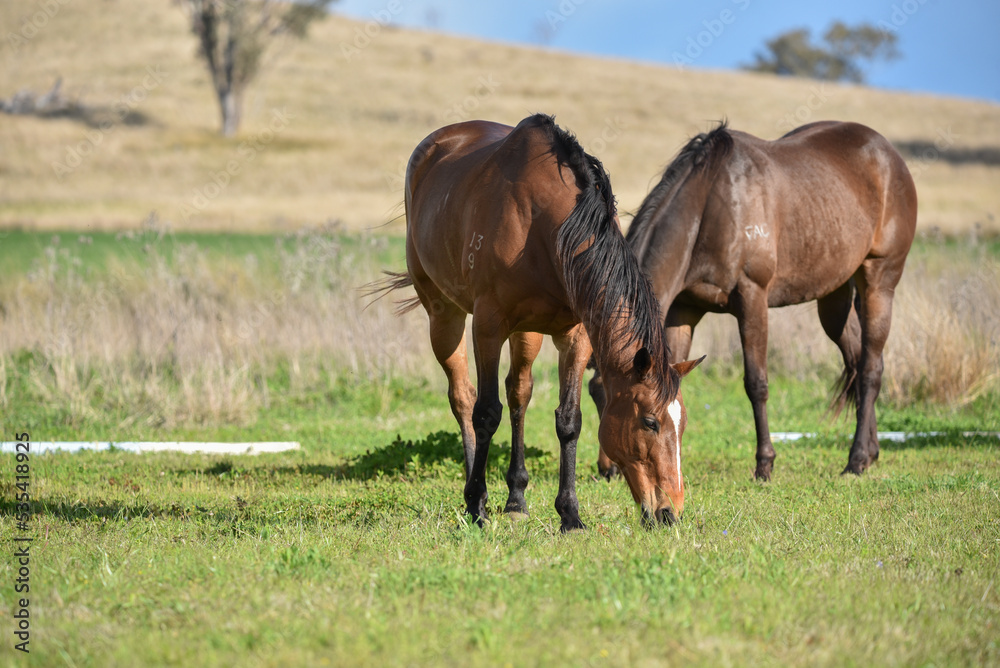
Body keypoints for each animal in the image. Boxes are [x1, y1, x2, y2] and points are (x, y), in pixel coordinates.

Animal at [376, 115, 704, 532]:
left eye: (683, 424)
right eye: (650, 422)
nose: (670, 513)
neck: (545, 224)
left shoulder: (576, 336)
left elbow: (569, 419)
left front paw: (571, 515)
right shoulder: (488, 326)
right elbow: (486, 412)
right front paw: (477, 506)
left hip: (527, 332)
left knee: (519, 394)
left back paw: (516, 499)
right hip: (443, 314)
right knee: (463, 398)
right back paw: (473, 492)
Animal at [588, 121, 916, 480]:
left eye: (637, 411)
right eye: (595, 396)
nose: (609, 470)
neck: (709, 206)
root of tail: (889, 154)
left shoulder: (752, 298)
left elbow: (756, 383)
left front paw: (764, 463)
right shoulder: (684, 309)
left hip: (879, 282)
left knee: (871, 368)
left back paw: (856, 458)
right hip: (834, 298)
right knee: (857, 360)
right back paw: (870, 451)